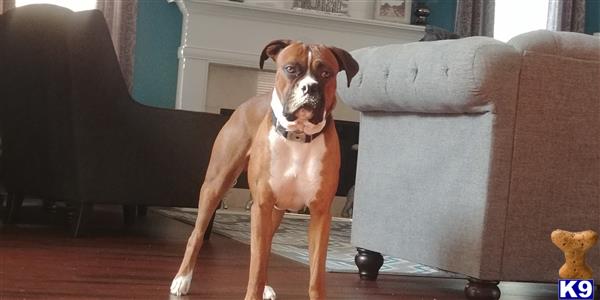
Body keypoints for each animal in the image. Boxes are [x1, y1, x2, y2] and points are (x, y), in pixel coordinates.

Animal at [169, 39, 356, 300]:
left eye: (326, 73)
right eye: (291, 69)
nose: (310, 87)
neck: (298, 137)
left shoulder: (320, 214)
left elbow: (316, 275)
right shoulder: (261, 206)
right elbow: (256, 267)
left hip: (275, 212)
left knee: (266, 249)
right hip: (216, 186)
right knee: (197, 235)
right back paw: (182, 279)